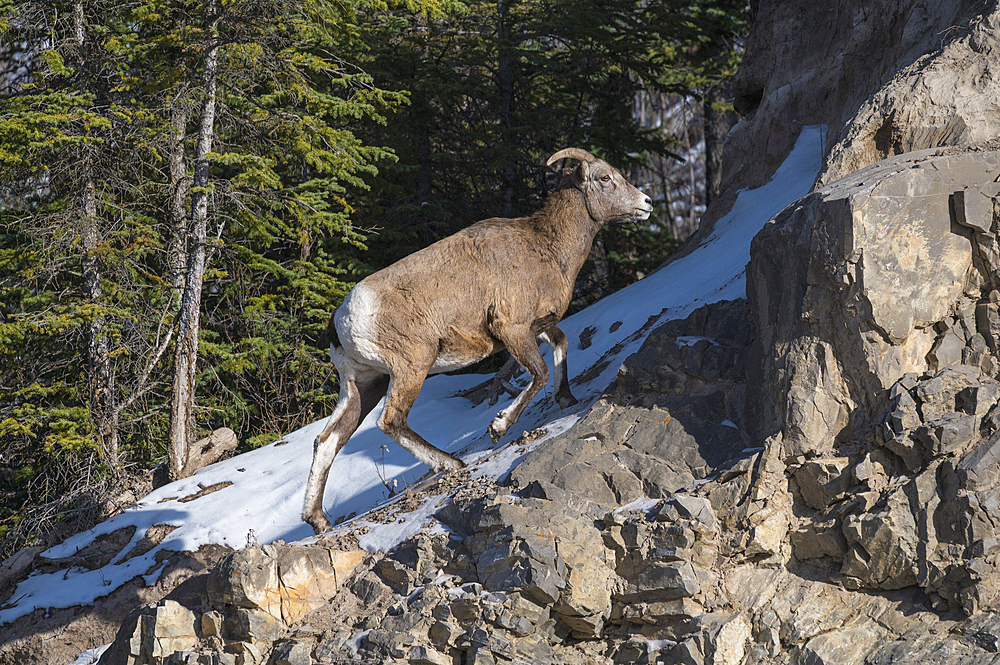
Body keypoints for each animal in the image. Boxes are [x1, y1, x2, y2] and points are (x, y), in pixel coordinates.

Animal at [300, 148, 652, 532]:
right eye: (605, 178)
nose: (647, 204)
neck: (546, 247)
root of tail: (342, 321)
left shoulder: (536, 327)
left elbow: (562, 345)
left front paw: (567, 399)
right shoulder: (512, 328)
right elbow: (539, 374)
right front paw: (499, 426)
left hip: (364, 384)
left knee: (327, 440)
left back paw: (319, 520)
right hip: (411, 368)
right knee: (390, 421)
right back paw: (452, 464)